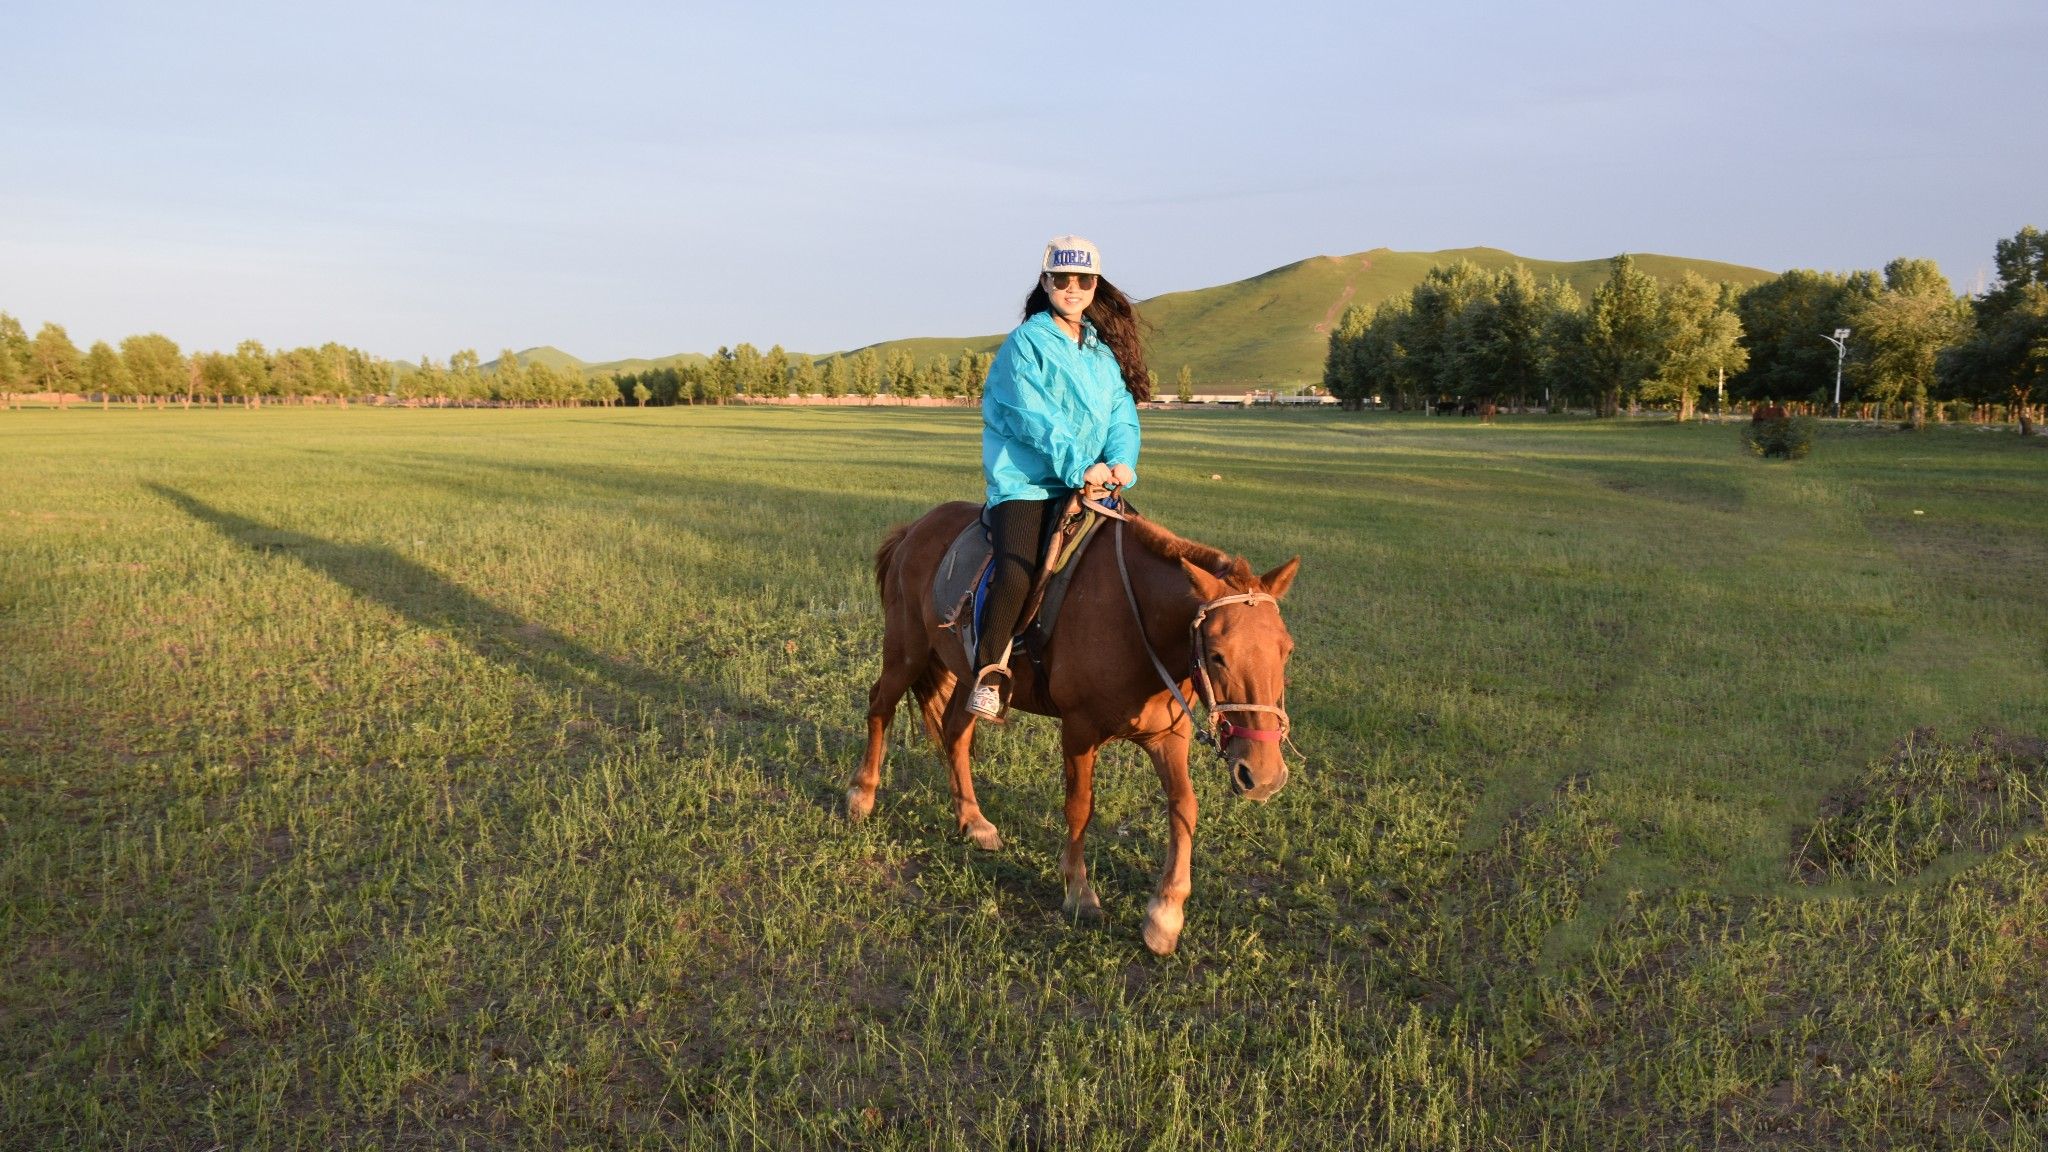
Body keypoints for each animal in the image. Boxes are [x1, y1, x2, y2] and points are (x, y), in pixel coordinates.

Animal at [843, 500, 1294, 951]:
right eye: (1217, 654)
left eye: (1287, 649)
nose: (1264, 775)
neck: (1134, 622)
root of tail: (913, 529)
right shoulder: (1079, 730)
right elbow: (1079, 807)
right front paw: (1079, 893)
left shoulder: (1169, 735)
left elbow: (1184, 808)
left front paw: (1165, 914)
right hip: (907, 650)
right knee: (880, 707)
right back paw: (861, 796)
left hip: (970, 677)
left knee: (955, 735)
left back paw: (973, 821)